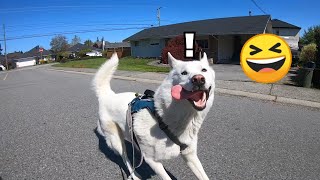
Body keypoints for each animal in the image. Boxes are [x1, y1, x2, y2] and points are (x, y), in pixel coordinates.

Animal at [94, 51, 216, 179]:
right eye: (184, 73)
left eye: (204, 70)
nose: (198, 79)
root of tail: (107, 95)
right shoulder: (152, 161)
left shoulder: (190, 155)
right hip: (116, 141)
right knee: (125, 157)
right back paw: (135, 175)